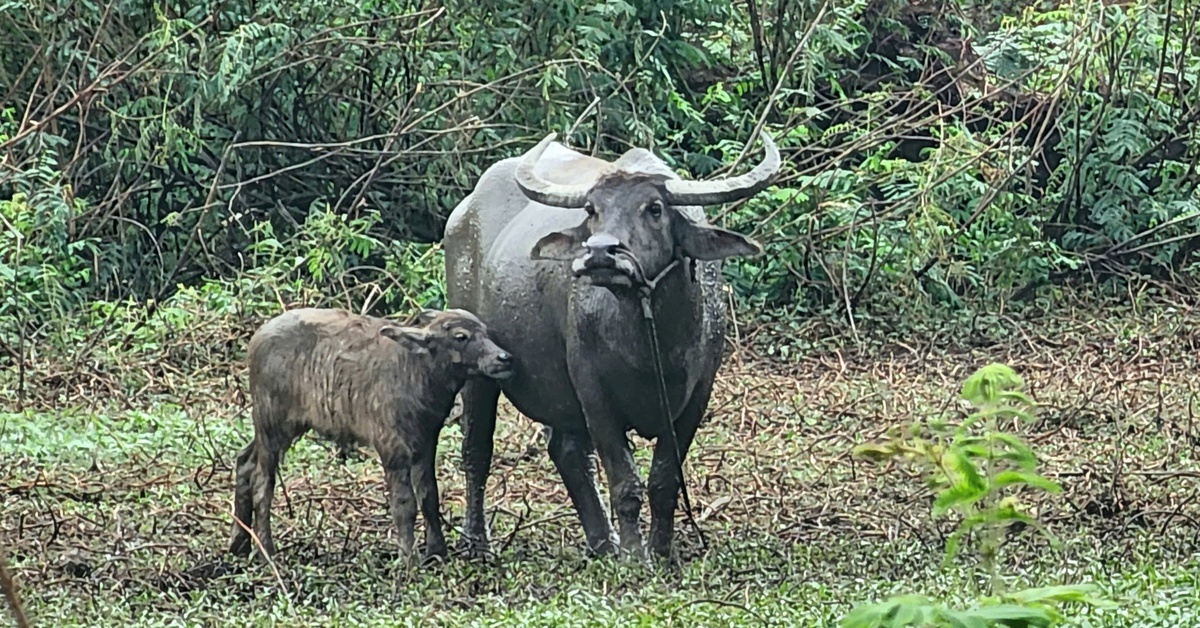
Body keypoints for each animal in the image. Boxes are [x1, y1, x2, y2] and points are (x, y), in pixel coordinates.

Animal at [230, 309, 516, 564]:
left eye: (485, 332)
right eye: (461, 336)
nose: (504, 358)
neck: (415, 370)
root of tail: (256, 340)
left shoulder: (425, 442)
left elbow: (429, 496)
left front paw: (437, 553)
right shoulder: (391, 446)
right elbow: (404, 503)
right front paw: (408, 560)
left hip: (281, 426)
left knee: (244, 461)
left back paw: (239, 544)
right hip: (271, 421)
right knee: (262, 482)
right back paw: (267, 552)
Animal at [446, 129, 782, 559]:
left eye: (654, 208)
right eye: (592, 209)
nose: (601, 252)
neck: (649, 342)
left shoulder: (697, 395)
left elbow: (664, 480)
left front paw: (661, 551)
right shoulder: (594, 392)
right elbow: (625, 481)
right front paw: (636, 556)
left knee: (567, 452)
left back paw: (602, 541)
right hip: (479, 368)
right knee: (476, 451)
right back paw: (478, 543)